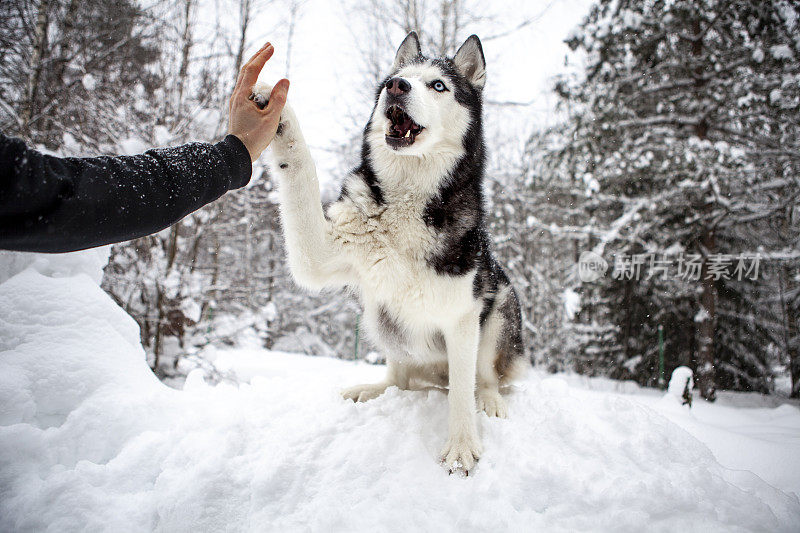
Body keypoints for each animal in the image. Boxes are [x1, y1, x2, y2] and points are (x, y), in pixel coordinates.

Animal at [252, 32, 524, 470]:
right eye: (392, 80)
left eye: (438, 85)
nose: (396, 87)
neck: (407, 202)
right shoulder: (320, 253)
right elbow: (300, 171)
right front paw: (278, 113)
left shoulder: (462, 316)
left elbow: (461, 393)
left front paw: (462, 447)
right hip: (380, 320)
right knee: (399, 380)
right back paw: (372, 390)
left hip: (501, 303)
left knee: (483, 377)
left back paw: (490, 400)